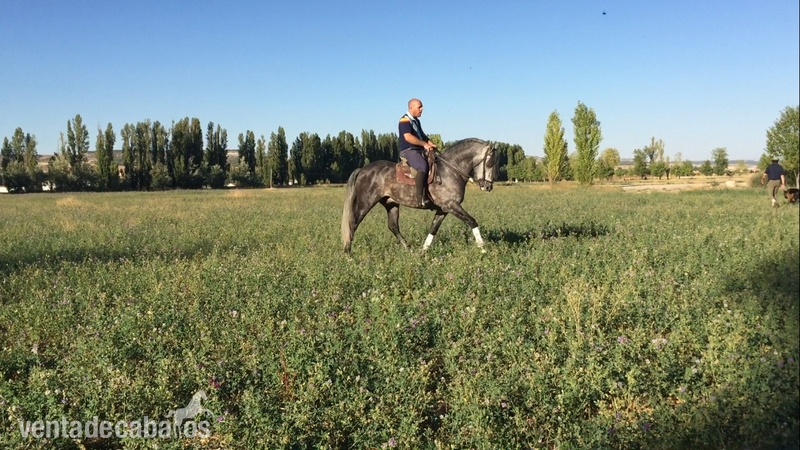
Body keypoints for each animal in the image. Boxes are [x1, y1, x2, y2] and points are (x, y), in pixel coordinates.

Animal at [341, 138, 497, 253]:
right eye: (490, 162)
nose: (488, 187)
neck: (450, 170)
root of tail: (363, 170)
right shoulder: (451, 205)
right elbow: (472, 221)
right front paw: (483, 249)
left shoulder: (444, 209)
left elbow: (433, 228)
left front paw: (423, 252)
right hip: (365, 203)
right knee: (353, 224)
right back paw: (348, 254)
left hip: (391, 203)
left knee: (393, 226)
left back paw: (410, 250)